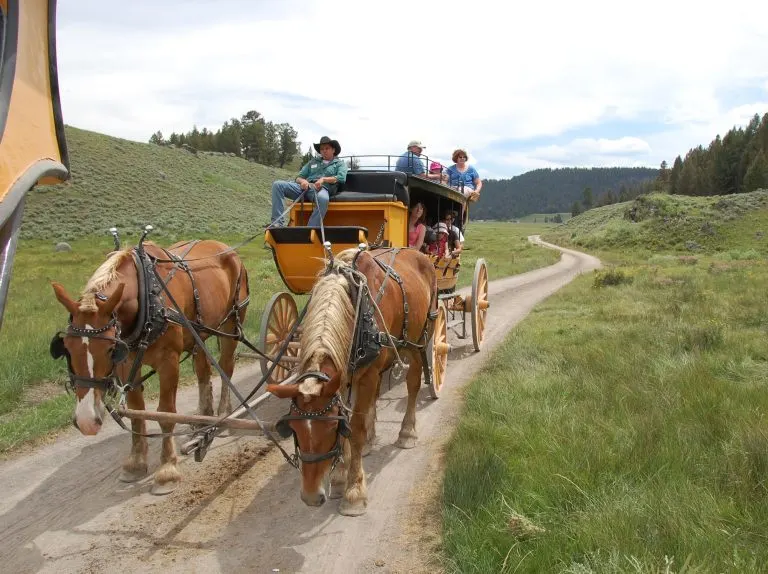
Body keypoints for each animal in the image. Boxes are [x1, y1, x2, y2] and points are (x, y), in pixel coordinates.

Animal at [50, 238, 249, 496]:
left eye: (110, 349)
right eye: (66, 348)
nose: (86, 421)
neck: (147, 298)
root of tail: (223, 246)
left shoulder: (168, 361)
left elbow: (165, 414)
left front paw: (167, 471)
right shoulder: (127, 363)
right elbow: (136, 412)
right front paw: (136, 463)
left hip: (230, 325)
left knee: (225, 367)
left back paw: (224, 417)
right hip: (199, 332)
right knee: (203, 370)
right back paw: (204, 417)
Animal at [268, 245, 438, 516]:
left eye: (330, 427)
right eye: (293, 428)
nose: (311, 497)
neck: (354, 308)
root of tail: (417, 253)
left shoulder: (366, 374)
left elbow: (354, 430)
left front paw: (354, 490)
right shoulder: (346, 374)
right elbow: (350, 420)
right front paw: (339, 478)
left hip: (419, 340)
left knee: (413, 383)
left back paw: (407, 432)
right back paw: (371, 439)